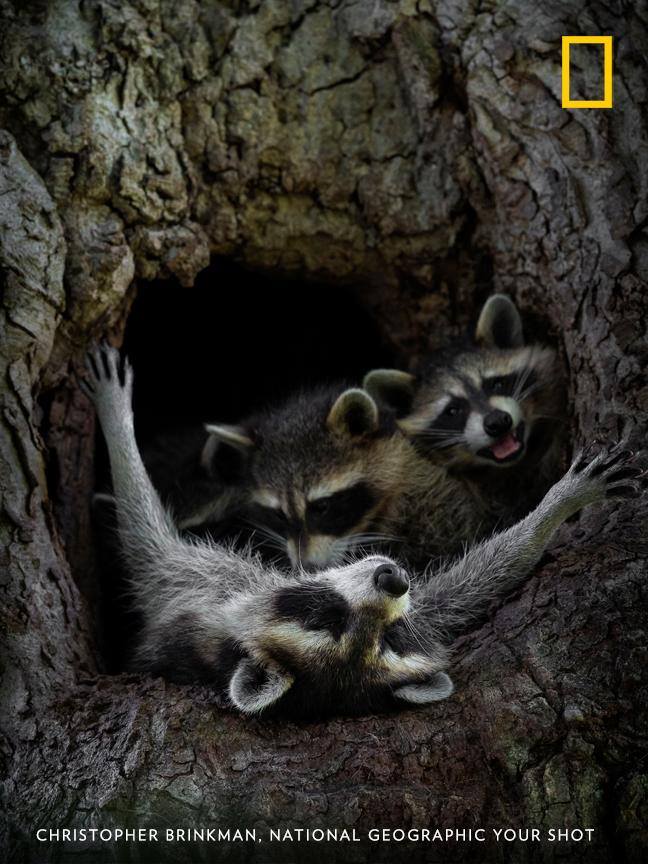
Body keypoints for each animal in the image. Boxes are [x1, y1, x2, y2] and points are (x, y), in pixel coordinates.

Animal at [81, 342, 644, 716]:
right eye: (327, 618)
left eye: (390, 640)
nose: (393, 579)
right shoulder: (202, 582)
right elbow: (144, 537)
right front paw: (116, 418)